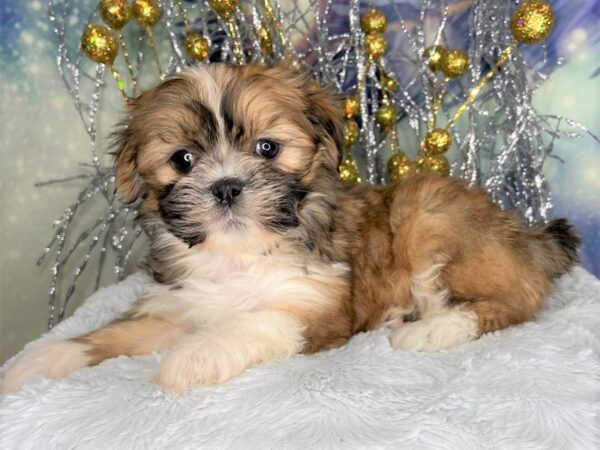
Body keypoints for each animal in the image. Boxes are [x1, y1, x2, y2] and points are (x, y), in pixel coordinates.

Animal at [2, 63, 580, 394]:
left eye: (267, 148)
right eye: (183, 160)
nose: (226, 186)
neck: (238, 252)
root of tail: (524, 236)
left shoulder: (316, 307)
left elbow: (257, 321)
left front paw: (194, 357)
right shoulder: (177, 307)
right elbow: (113, 333)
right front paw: (41, 358)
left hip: (430, 213)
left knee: (516, 298)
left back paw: (428, 329)